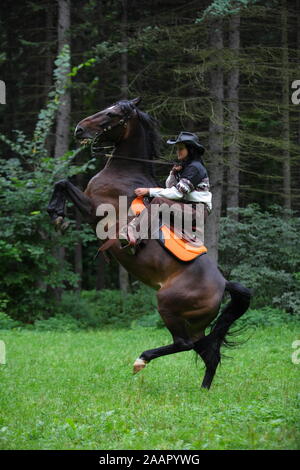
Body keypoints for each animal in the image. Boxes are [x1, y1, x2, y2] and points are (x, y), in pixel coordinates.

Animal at [47, 96, 251, 390]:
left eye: (112, 114)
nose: (79, 129)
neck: (123, 173)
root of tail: (224, 283)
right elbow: (61, 182)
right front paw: (57, 216)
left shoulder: (93, 210)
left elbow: (62, 183)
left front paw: (57, 214)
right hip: (195, 323)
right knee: (207, 351)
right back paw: (203, 391)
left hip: (168, 306)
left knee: (184, 344)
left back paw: (141, 360)